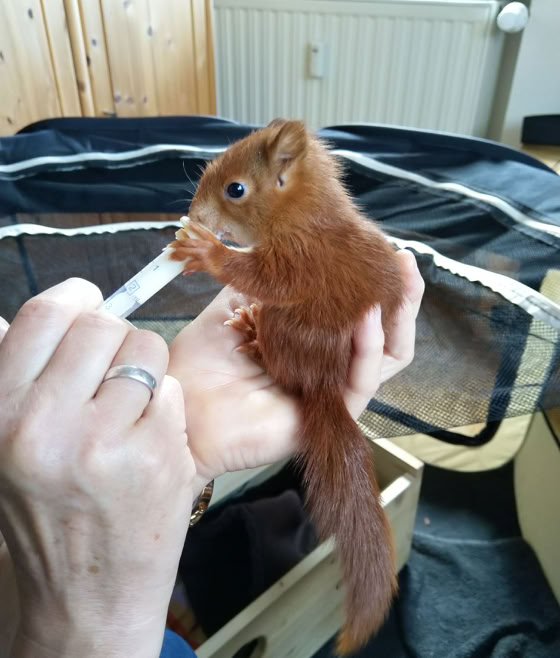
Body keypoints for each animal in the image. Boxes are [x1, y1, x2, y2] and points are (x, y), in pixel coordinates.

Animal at [170, 119, 404, 654]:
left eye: (236, 189)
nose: (195, 215)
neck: (301, 215)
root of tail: (321, 382)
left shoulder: (300, 259)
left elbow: (260, 277)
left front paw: (205, 250)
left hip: (286, 325)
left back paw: (255, 335)